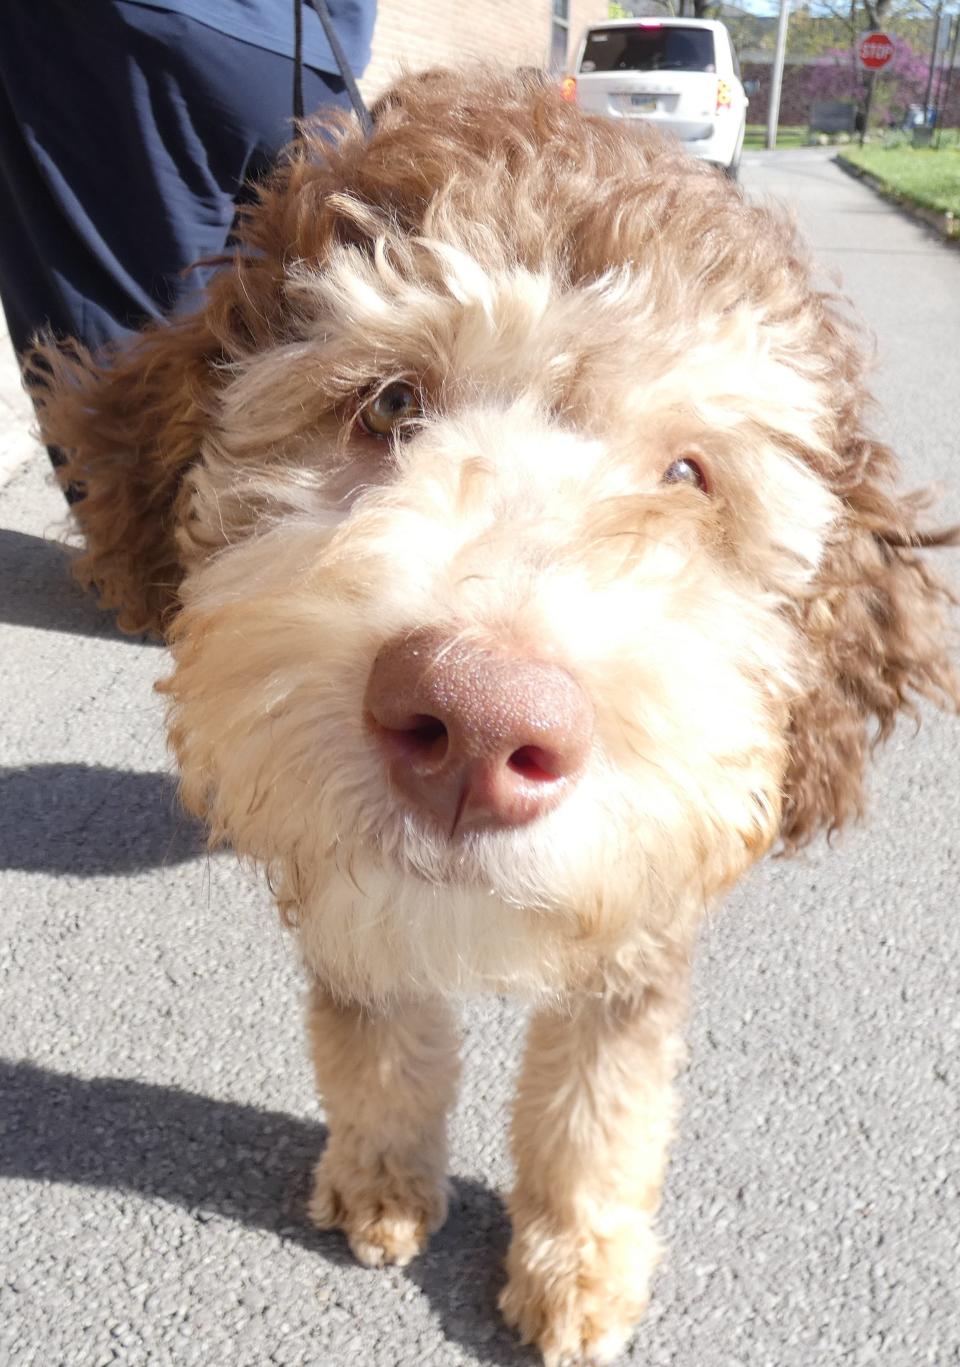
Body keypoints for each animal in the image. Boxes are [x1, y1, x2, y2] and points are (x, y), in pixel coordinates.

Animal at [31, 72, 960, 1367]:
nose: (474, 722)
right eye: (389, 403)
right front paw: (383, 1178)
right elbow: (376, 1041)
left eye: (688, 474)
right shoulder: (349, 897)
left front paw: (580, 1261)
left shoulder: (643, 916)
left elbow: (600, 1099)